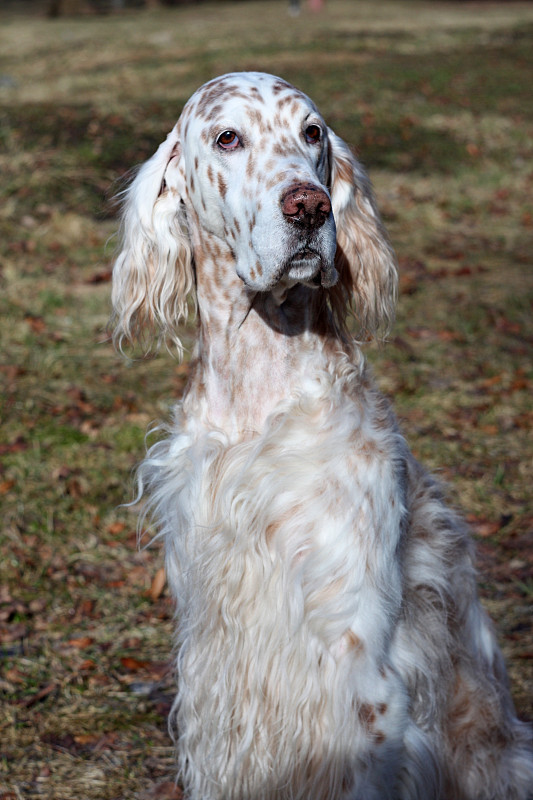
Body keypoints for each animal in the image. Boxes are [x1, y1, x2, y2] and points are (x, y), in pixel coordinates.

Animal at [110, 73, 528, 800]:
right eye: (228, 137)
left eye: (312, 134)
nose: (308, 207)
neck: (257, 395)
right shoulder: (214, 672)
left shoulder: (357, 680)